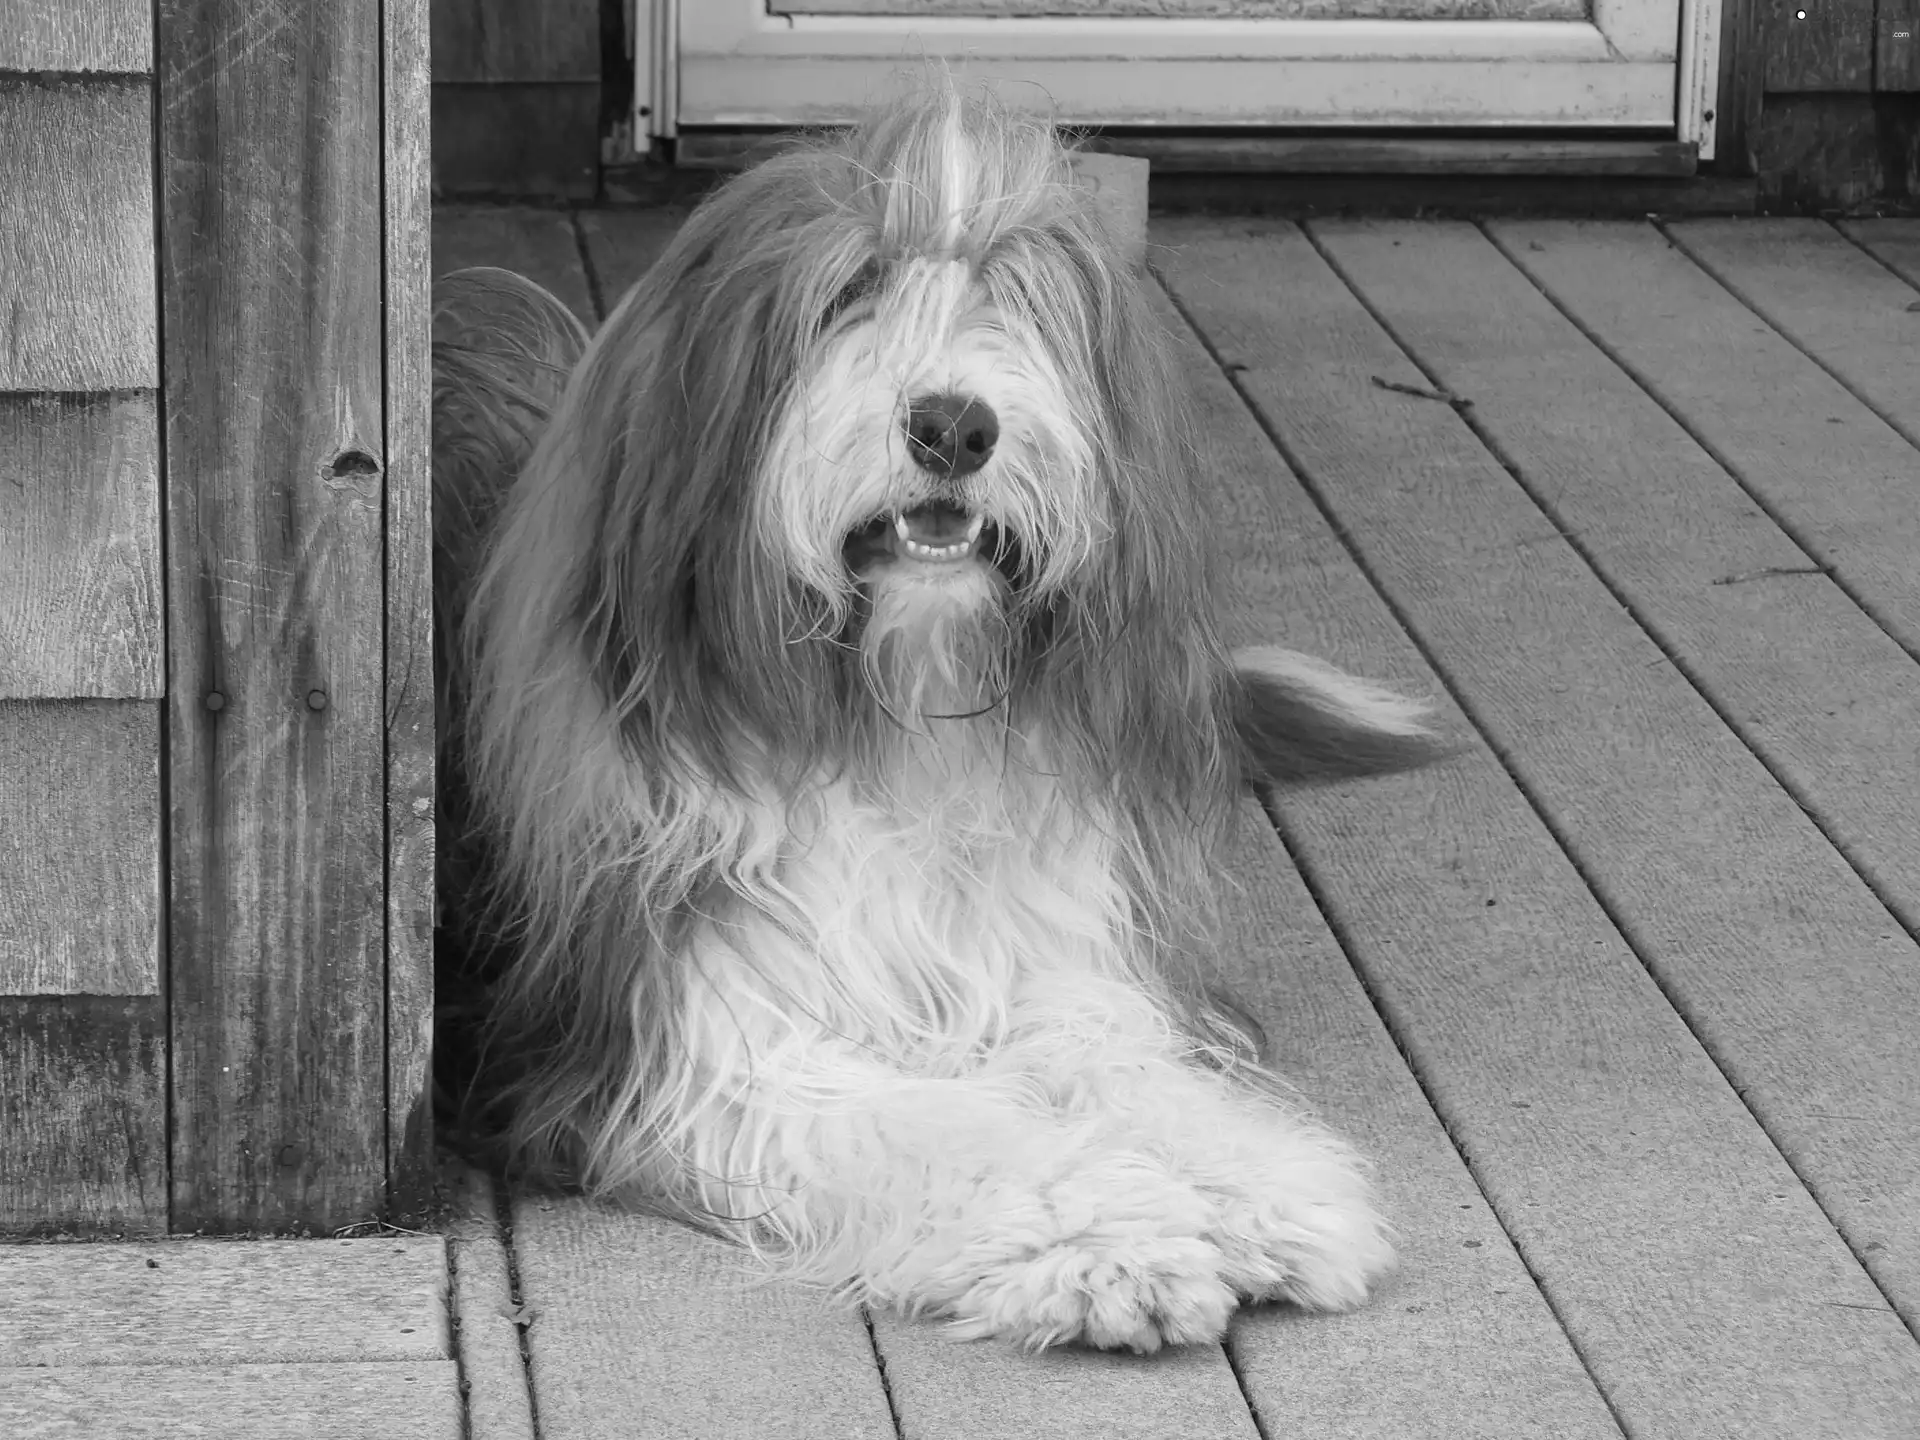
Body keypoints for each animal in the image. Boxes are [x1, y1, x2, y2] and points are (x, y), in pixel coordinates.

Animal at [435, 84, 1443, 1359]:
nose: (955, 426)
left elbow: (1125, 1061)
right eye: (848, 296)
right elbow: (941, 1123)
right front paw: (1112, 1237)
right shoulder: (695, 1035)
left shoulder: (1045, 954)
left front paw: (1258, 1184)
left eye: (1019, 301)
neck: (902, 715)